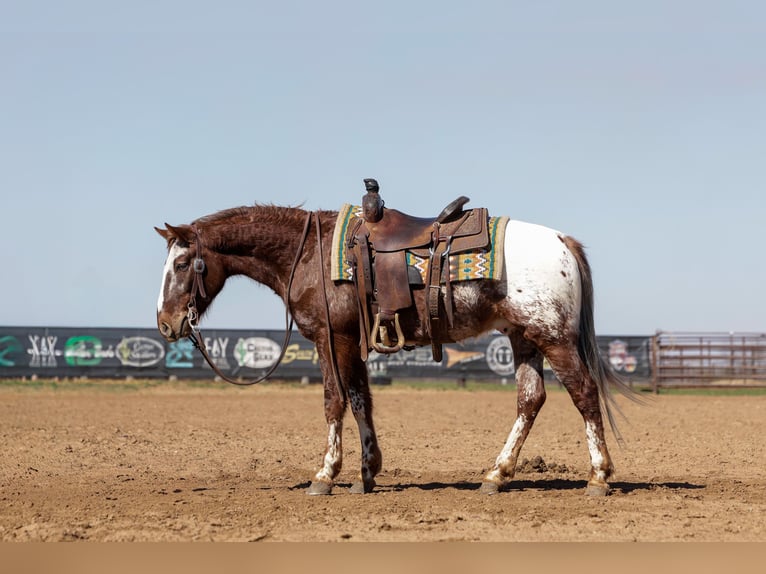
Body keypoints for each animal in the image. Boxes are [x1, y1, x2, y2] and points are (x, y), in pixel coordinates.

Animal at [155, 202, 634, 497]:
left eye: (181, 264)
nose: (165, 322)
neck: (308, 252)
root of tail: (562, 241)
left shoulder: (332, 339)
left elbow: (334, 401)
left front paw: (325, 475)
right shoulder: (352, 342)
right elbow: (360, 400)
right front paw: (368, 472)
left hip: (552, 337)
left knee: (583, 393)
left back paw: (598, 477)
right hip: (523, 337)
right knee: (530, 400)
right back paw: (496, 475)